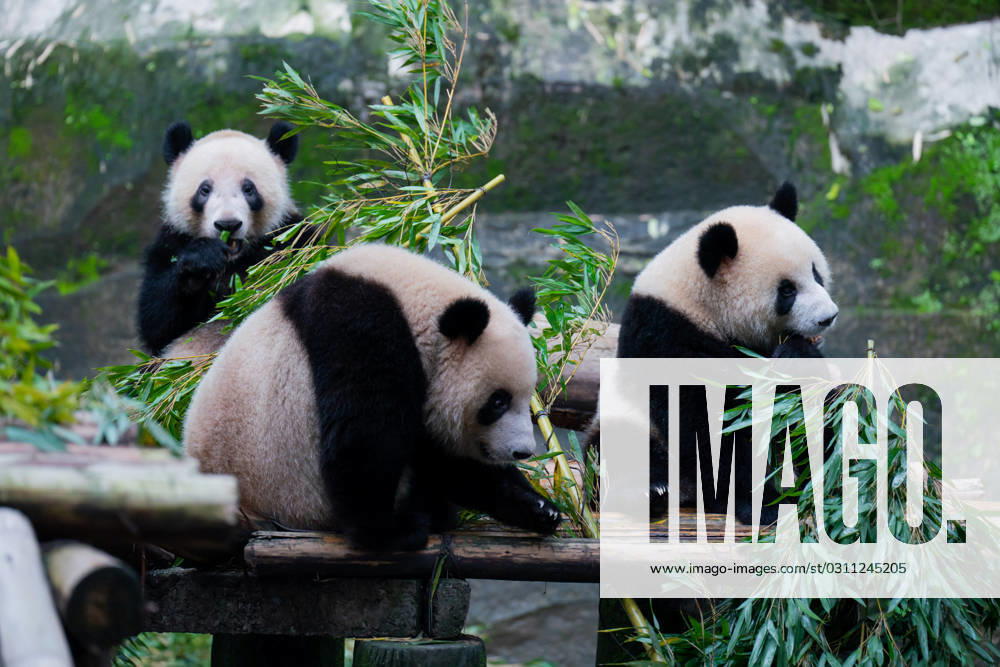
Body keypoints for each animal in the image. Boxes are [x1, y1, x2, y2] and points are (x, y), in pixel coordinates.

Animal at [137, 121, 302, 356]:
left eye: (248, 188)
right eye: (205, 189)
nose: (228, 225)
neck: (233, 260)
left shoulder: (291, 236)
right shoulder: (171, 242)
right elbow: (157, 321)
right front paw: (203, 259)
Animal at [183, 244, 562, 551]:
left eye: (526, 398)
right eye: (497, 402)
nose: (522, 451)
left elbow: (441, 456)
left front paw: (539, 507)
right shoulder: (362, 330)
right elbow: (365, 436)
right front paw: (387, 531)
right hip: (292, 494)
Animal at [598, 182, 837, 526]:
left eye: (816, 273)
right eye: (787, 290)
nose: (828, 317)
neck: (701, 306)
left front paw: (794, 358)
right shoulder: (665, 337)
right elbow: (708, 422)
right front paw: (762, 503)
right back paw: (651, 491)